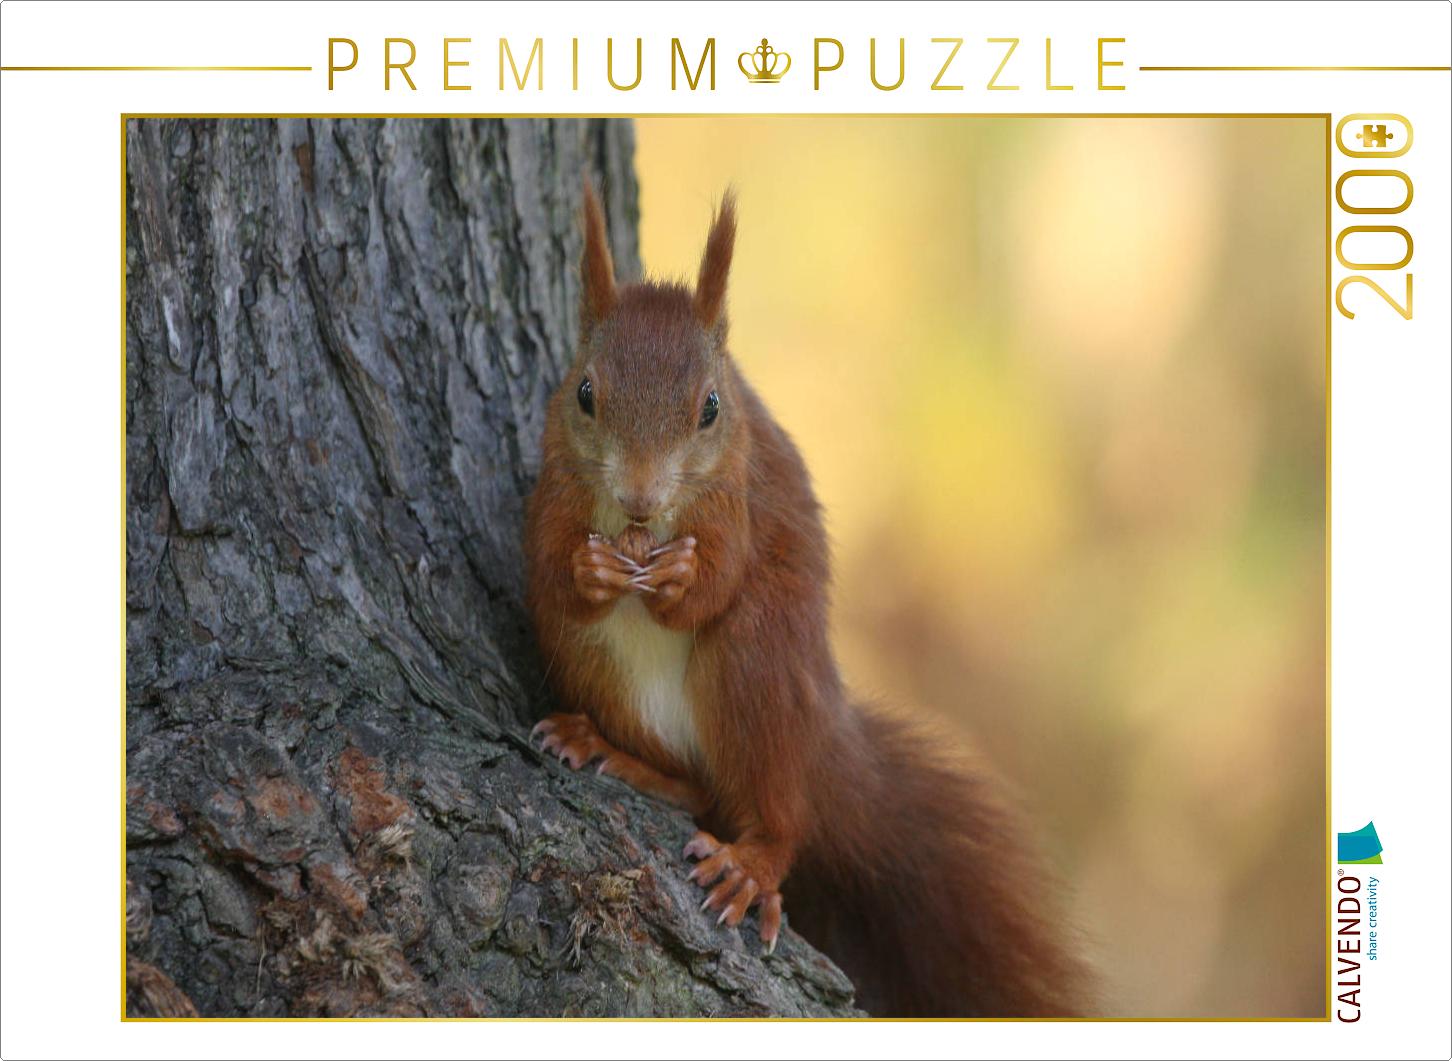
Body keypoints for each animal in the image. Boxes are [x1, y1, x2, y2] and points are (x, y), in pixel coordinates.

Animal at [524, 184, 1091, 1017]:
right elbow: (546, 564)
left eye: (711, 408)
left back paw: (751, 863)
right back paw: (607, 748)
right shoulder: (554, 485)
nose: (639, 497)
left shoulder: (737, 500)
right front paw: (590, 568)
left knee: (778, 815)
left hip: (755, 666)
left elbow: (716, 581)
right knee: (696, 785)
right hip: (589, 661)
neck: (643, 529)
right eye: (586, 393)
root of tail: (819, 740)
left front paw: (680, 579)